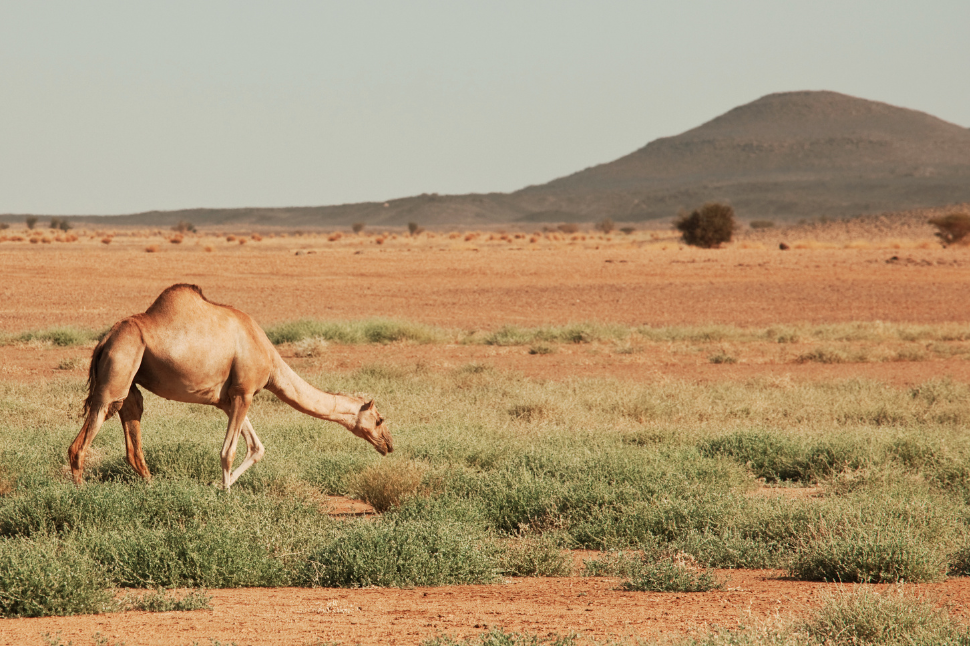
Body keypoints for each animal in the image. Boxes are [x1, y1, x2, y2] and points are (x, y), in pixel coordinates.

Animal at [66, 284, 392, 492]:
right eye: (379, 420)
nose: (389, 444)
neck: (270, 359)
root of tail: (104, 340)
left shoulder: (228, 400)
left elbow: (257, 447)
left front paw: (216, 486)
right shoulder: (244, 393)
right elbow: (228, 451)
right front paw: (226, 496)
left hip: (130, 378)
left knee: (131, 419)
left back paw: (150, 486)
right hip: (120, 365)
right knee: (83, 438)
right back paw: (81, 493)